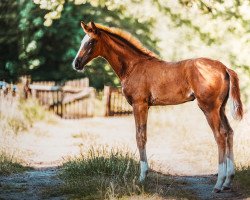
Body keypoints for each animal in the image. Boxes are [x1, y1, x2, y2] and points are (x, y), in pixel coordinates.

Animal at [72, 21, 242, 192]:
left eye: (91, 42)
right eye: (81, 42)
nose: (76, 63)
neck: (133, 66)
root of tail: (224, 68)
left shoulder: (139, 104)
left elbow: (140, 137)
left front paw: (142, 177)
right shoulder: (145, 106)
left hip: (209, 107)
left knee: (220, 135)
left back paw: (218, 183)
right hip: (221, 108)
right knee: (229, 132)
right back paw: (228, 181)